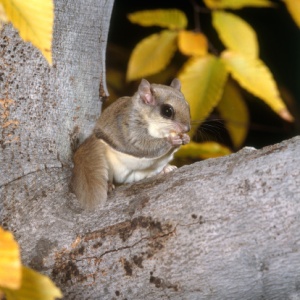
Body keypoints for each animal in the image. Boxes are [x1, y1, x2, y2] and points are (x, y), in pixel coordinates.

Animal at [71, 77, 191, 209]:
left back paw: (166, 168)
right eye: (167, 111)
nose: (187, 129)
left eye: (188, 106)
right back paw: (109, 185)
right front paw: (171, 140)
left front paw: (186, 138)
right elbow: (143, 144)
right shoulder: (130, 127)